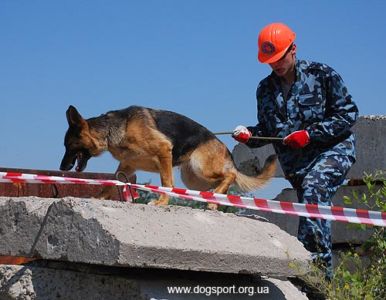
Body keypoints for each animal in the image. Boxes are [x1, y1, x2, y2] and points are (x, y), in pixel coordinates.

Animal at [60, 105, 276, 209]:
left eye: (68, 145)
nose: (62, 168)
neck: (114, 129)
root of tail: (225, 150)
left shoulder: (164, 152)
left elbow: (166, 183)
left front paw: (161, 202)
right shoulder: (127, 166)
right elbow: (111, 184)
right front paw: (97, 198)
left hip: (200, 166)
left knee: (230, 175)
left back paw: (215, 197)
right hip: (192, 179)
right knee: (221, 182)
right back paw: (214, 199)